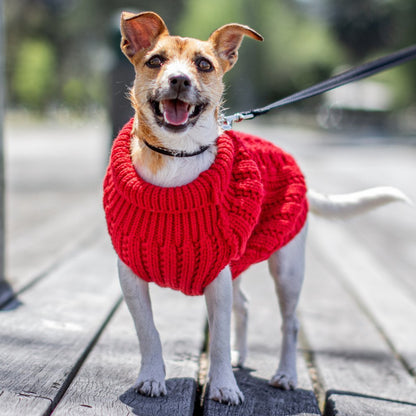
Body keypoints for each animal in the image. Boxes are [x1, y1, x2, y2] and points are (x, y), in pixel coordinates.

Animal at [102, 11, 408, 404]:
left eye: (204, 65)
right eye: (155, 61)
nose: (179, 79)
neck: (175, 157)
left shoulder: (217, 280)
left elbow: (218, 338)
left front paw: (223, 385)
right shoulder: (131, 277)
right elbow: (148, 331)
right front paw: (153, 377)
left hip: (287, 271)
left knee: (290, 323)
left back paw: (286, 374)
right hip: (239, 267)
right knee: (245, 306)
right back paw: (241, 357)